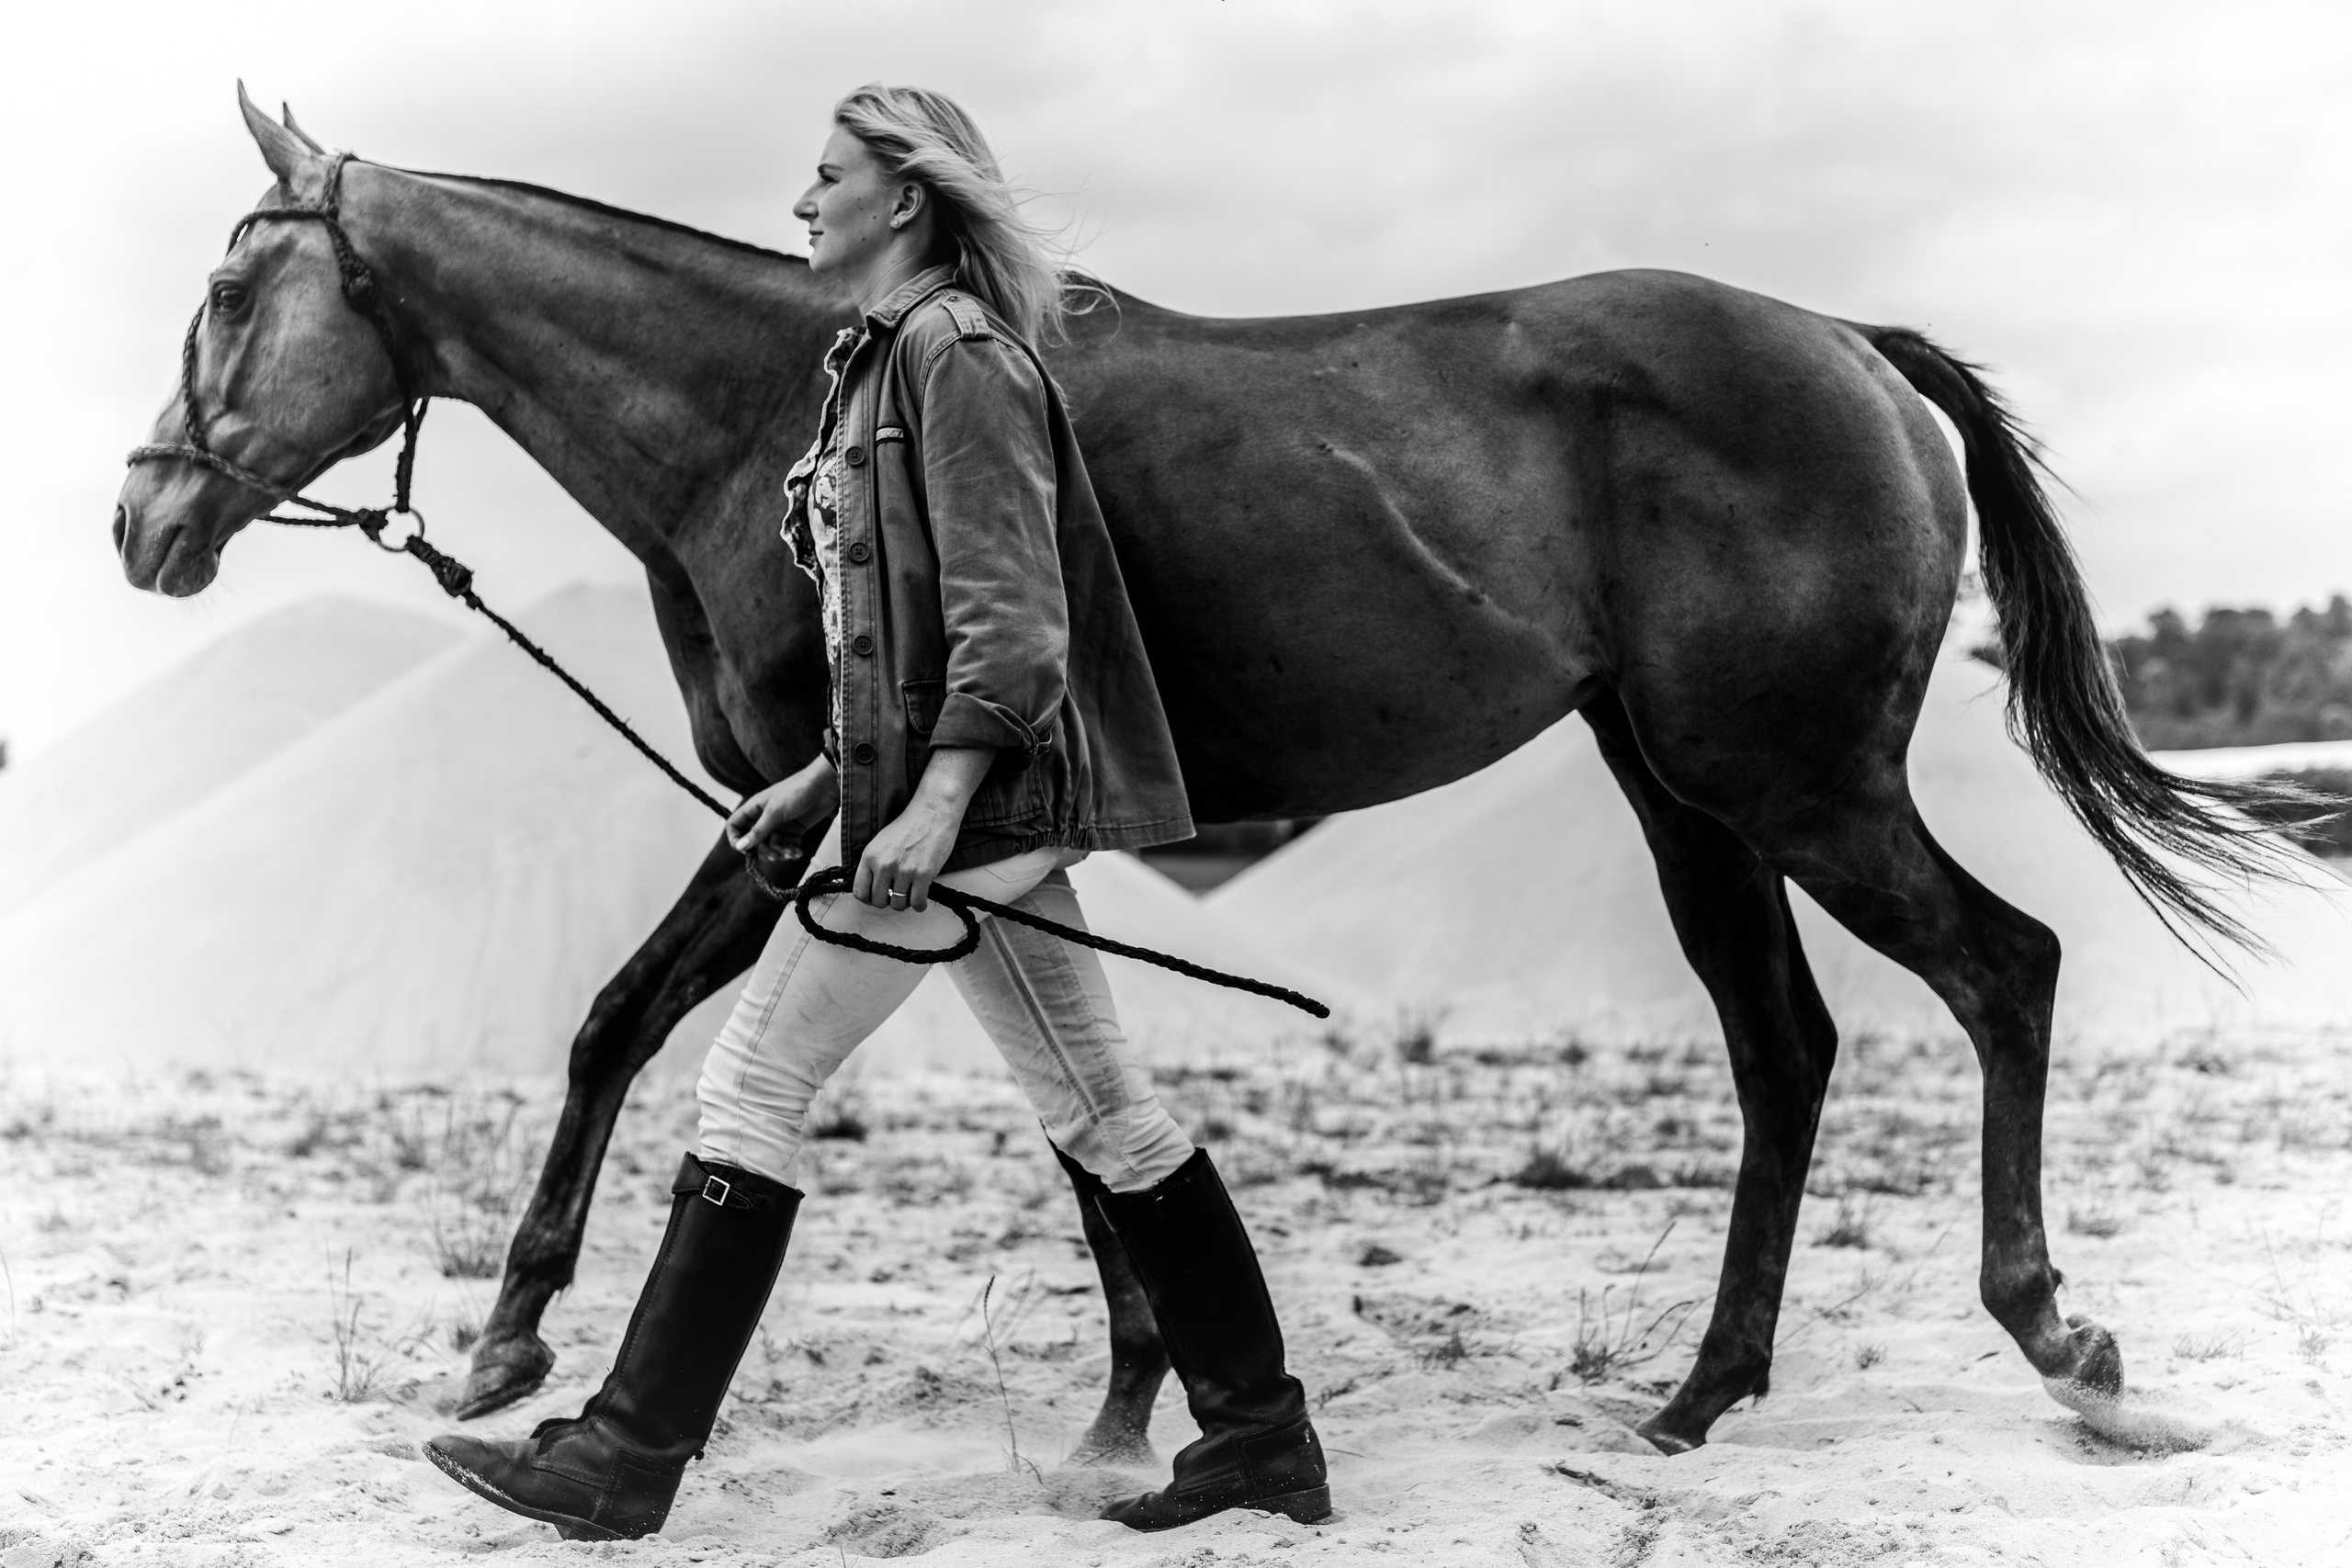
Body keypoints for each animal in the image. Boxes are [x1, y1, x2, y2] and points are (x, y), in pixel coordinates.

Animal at [115, 90, 2296, 1460]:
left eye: (228, 289)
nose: (144, 519)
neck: (753, 424)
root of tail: (1847, 343)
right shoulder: (957, 853)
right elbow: (1080, 1110)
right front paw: (1131, 1398)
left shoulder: (824, 827)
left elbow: (609, 1025)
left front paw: (503, 1339)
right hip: (1690, 797)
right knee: (1785, 1049)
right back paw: (1696, 1394)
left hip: (1800, 786)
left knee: (2000, 971)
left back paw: (2063, 1338)